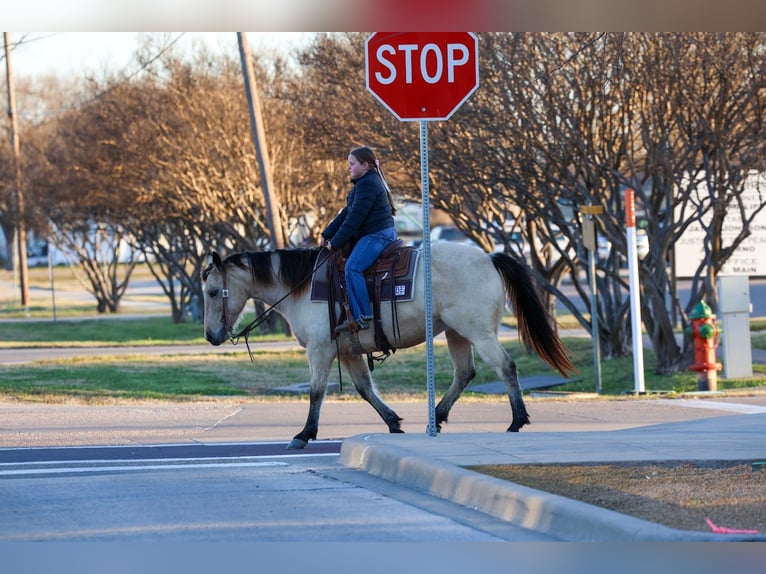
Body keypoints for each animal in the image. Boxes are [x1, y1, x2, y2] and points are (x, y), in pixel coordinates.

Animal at [201, 241, 576, 449]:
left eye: (212, 292)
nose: (210, 336)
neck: (303, 287)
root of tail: (489, 257)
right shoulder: (347, 351)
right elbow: (365, 389)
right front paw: (394, 422)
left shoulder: (320, 350)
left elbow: (316, 392)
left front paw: (304, 434)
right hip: (456, 332)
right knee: (464, 374)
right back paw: (437, 417)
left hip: (478, 331)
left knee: (504, 366)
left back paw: (516, 420)